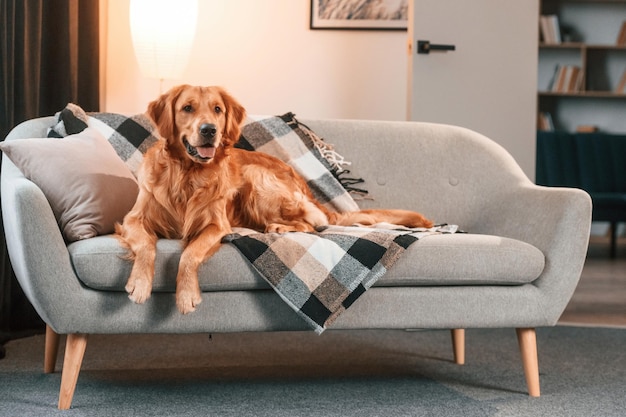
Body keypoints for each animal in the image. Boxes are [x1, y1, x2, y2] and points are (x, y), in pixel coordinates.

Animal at [114, 84, 432, 312]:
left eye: (217, 109)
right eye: (187, 108)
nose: (209, 130)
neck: (187, 175)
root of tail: (304, 185)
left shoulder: (217, 226)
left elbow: (190, 254)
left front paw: (186, 295)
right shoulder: (133, 219)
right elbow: (146, 246)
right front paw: (139, 284)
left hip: (257, 178)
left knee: (311, 225)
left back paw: (278, 227)